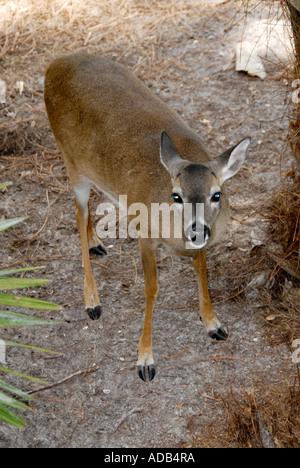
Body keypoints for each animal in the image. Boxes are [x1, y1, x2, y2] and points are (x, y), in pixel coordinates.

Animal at [44, 52, 251, 380]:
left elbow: (201, 269)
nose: (197, 230)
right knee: (77, 212)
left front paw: (213, 323)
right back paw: (92, 300)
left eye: (216, 194)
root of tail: (55, 65)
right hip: (71, 161)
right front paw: (145, 359)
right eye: (176, 195)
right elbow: (151, 288)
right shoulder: (144, 232)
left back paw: (96, 243)